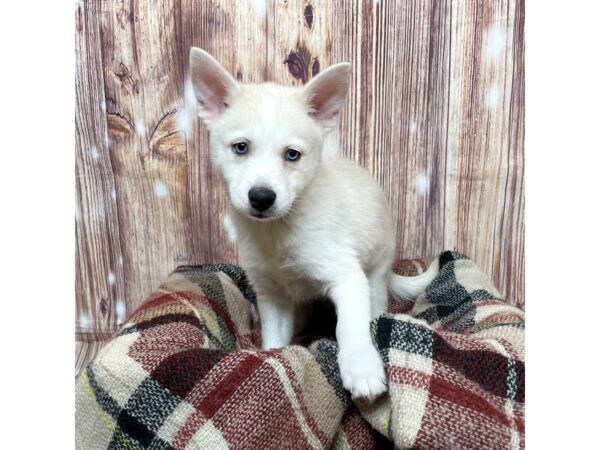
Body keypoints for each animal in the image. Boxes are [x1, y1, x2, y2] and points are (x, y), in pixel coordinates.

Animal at [190, 48, 438, 400]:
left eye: (292, 155)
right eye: (241, 148)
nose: (261, 197)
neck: (278, 231)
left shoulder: (348, 279)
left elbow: (349, 328)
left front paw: (361, 367)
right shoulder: (272, 295)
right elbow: (275, 338)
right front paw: (273, 355)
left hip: (376, 273)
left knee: (375, 307)